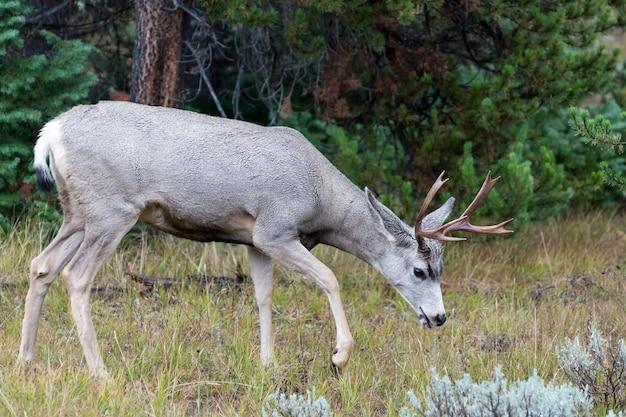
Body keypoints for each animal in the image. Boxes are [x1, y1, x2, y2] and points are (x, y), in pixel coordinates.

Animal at [17, 101, 510, 376]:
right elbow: (331, 278)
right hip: (111, 209)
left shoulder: (253, 240)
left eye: (441, 269)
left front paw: (268, 363)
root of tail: (50, 133)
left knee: (41, 265)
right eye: (420, 270)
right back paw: (100, 371)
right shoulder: (275, 228)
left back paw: (27, 360)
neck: (320, 198)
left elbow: (263, 296)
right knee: (77, 277)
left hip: (78, 212)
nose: (440, 317)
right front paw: (339, 357)